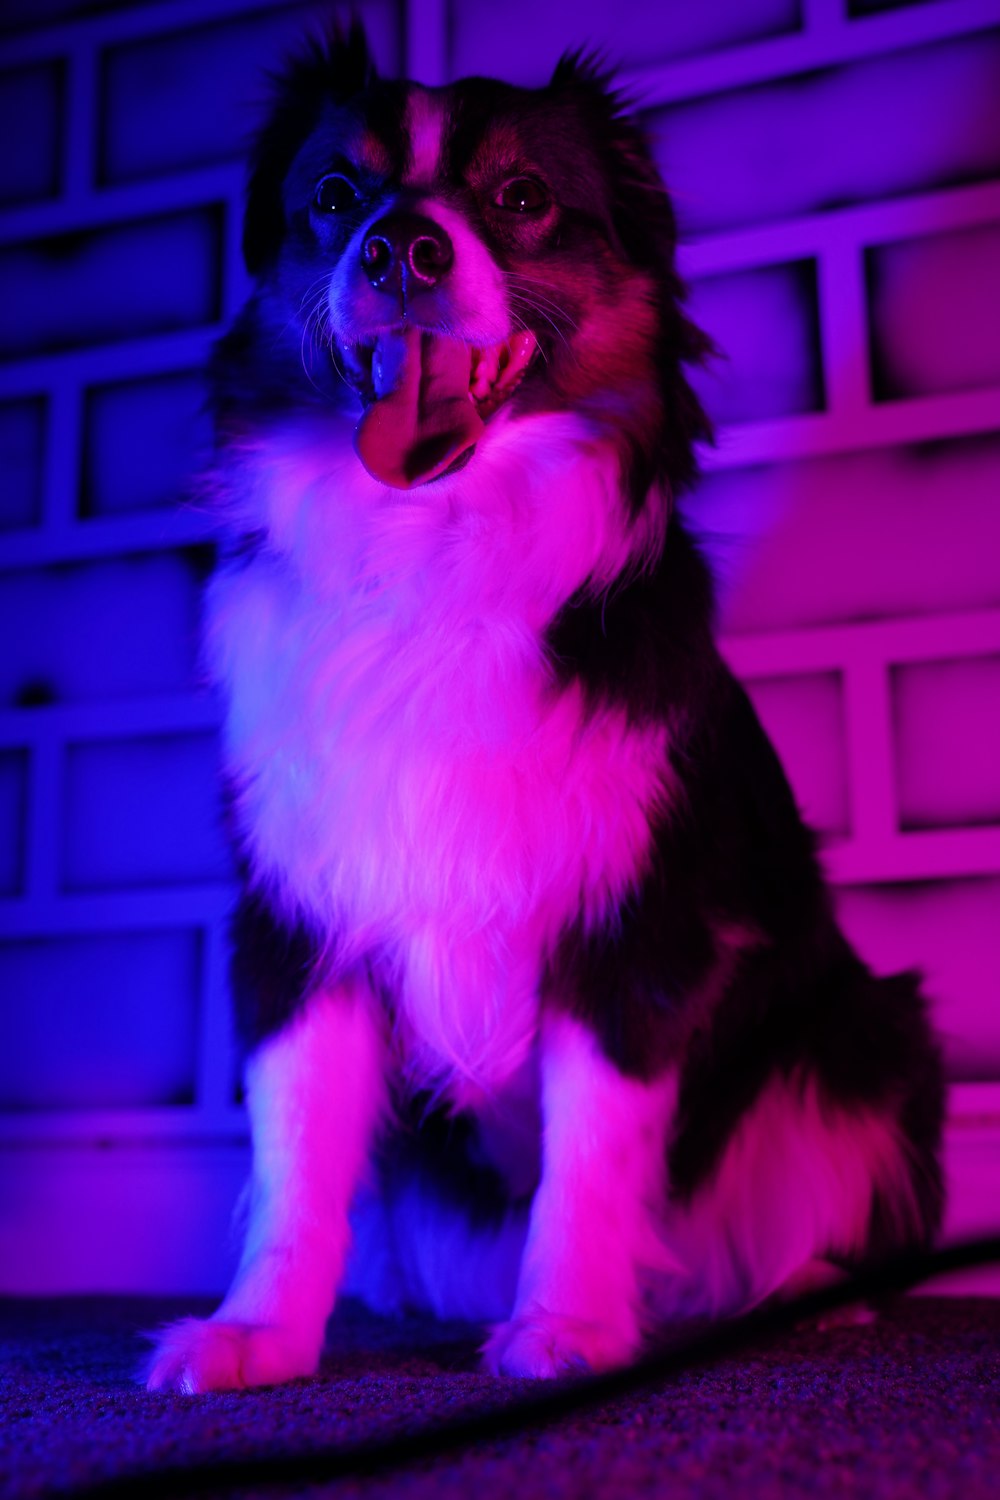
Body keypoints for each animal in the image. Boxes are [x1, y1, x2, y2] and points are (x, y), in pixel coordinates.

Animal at [144, 17, 941, 1386]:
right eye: (335, 196)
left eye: (520, 198)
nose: (400, 247)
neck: (429, 540)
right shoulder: (298, 915)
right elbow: (293, 1163)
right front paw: (258, 1335)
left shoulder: (638, 923)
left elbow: (591, 1155)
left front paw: (565, 1326)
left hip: (868, 1028)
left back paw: (804, 1293)